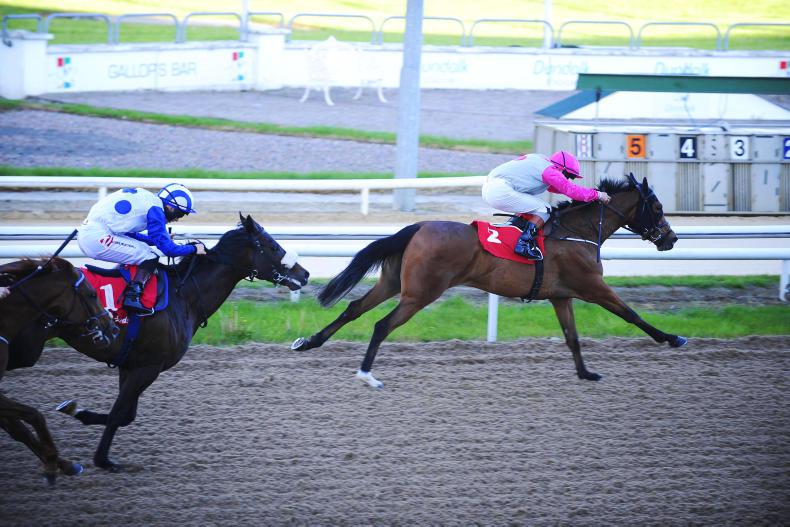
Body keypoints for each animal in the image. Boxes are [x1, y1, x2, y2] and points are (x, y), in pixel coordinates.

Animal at [0, 257, 118, 483]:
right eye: (92, 293)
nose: (113, 328)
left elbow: (19, 428)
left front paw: (65, 464)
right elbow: (33, 416)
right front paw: (52, 462)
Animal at [7, 214, 310, 472]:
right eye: (272, 245)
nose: (305, 274)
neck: (184, 296)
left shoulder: (131, 364)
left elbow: (125, 415)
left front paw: (77, 411)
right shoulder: (148, 367)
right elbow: (118, 415)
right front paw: (104, 460)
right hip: (25, 348)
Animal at [292, 174, 687, 389]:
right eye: (657, 207)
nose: (671, 239)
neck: (578, 232)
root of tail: (417, 226)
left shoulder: (561, 296)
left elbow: (572, 337)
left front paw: (586, 373)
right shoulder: (592, 287)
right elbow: (632, 314)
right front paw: (672, 338)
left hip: (394, 283)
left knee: (354, 308)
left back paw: (308, 342)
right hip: (420, 293)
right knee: (381, 325)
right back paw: (366, 375)